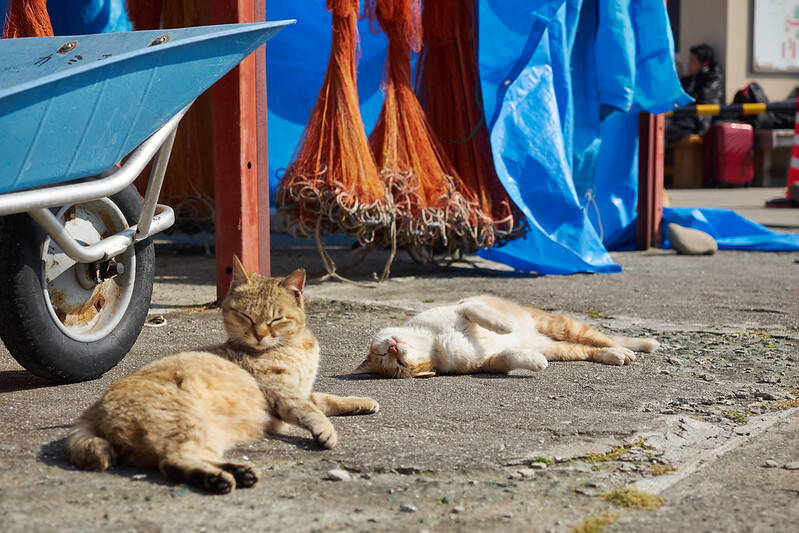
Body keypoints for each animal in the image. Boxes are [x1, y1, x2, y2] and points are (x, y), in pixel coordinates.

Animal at [65, 256, 378, 492]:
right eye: (246, 317)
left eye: (275, 319)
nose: (260, 335)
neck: (295, 346)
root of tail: (92, 412)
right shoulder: (283, 393)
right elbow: (311, 410)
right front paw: (325, 429)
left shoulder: (303, 389)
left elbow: (326, 398)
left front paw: (361, 403)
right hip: (187, 422)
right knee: (173, 460)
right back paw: (219, 480)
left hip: (206, 435)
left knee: (179, 460)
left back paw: (238, 473)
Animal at [354, 294, 660, 376]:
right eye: (396, 364)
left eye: (383, 352)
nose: (393, 348)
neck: (435, 342)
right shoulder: (486, 363)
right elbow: (510, 356)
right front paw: (534, 362)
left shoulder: (464, 306)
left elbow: (481, 314)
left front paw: (503, 326)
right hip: (561, 349)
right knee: (591, 350)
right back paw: (615, 356)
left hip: (561, 325)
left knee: (605, 338)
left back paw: (639, 345)